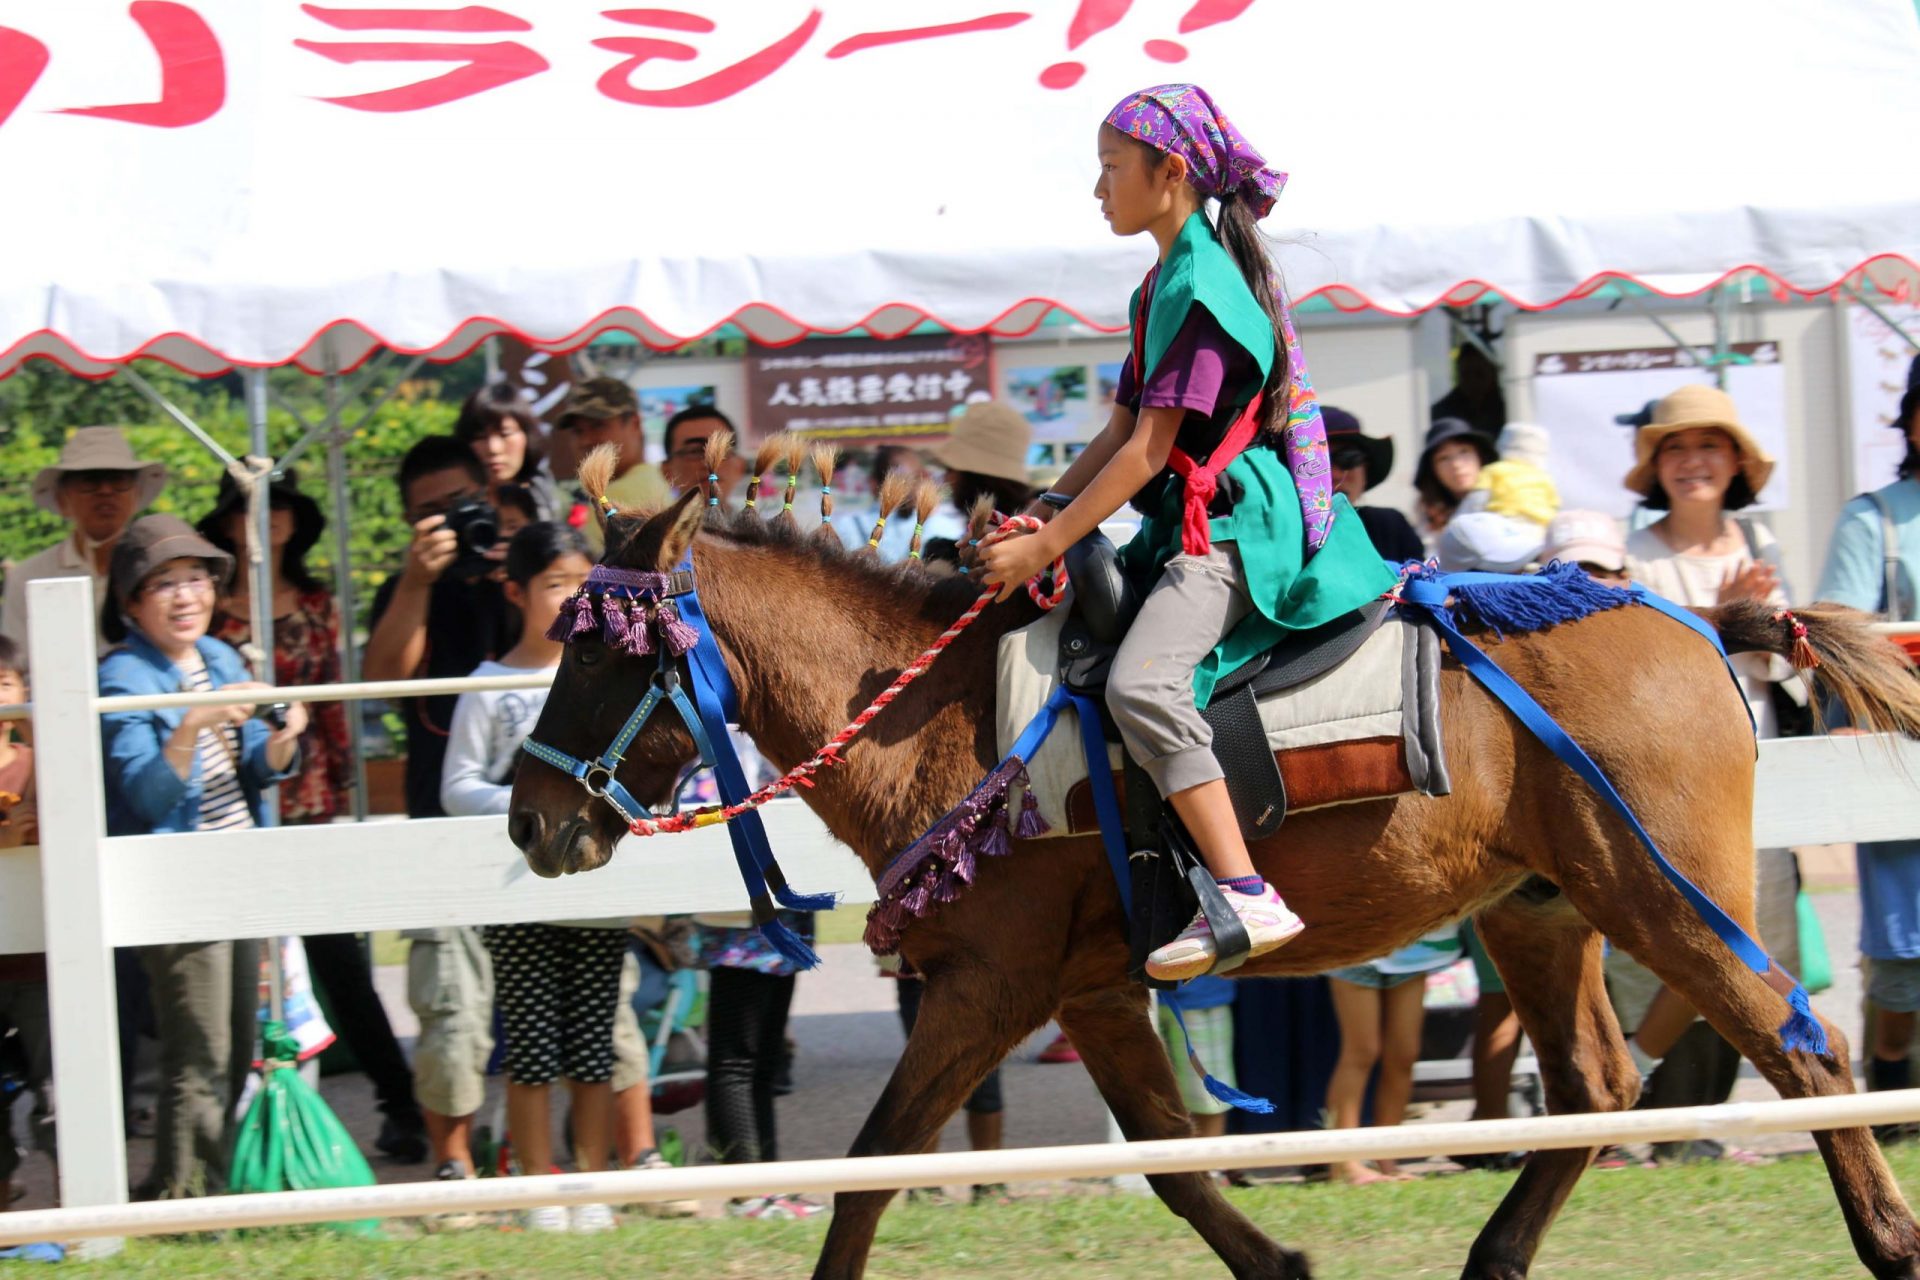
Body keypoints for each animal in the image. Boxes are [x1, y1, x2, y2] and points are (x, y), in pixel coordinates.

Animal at [509, 455, 1920, 1280]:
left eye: (605, 652)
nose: (530, 818)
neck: (942, 718)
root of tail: (1699, 618)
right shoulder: (1087, 991)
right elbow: (1174, 1157)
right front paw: (1282, 1261)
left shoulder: (986, 988)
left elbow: (868, 1174)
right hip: (1540, 908)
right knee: (1596, 1084)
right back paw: (1498, 1253)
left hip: (1661, 890)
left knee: (1800, 1052)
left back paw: (1890, 1238)